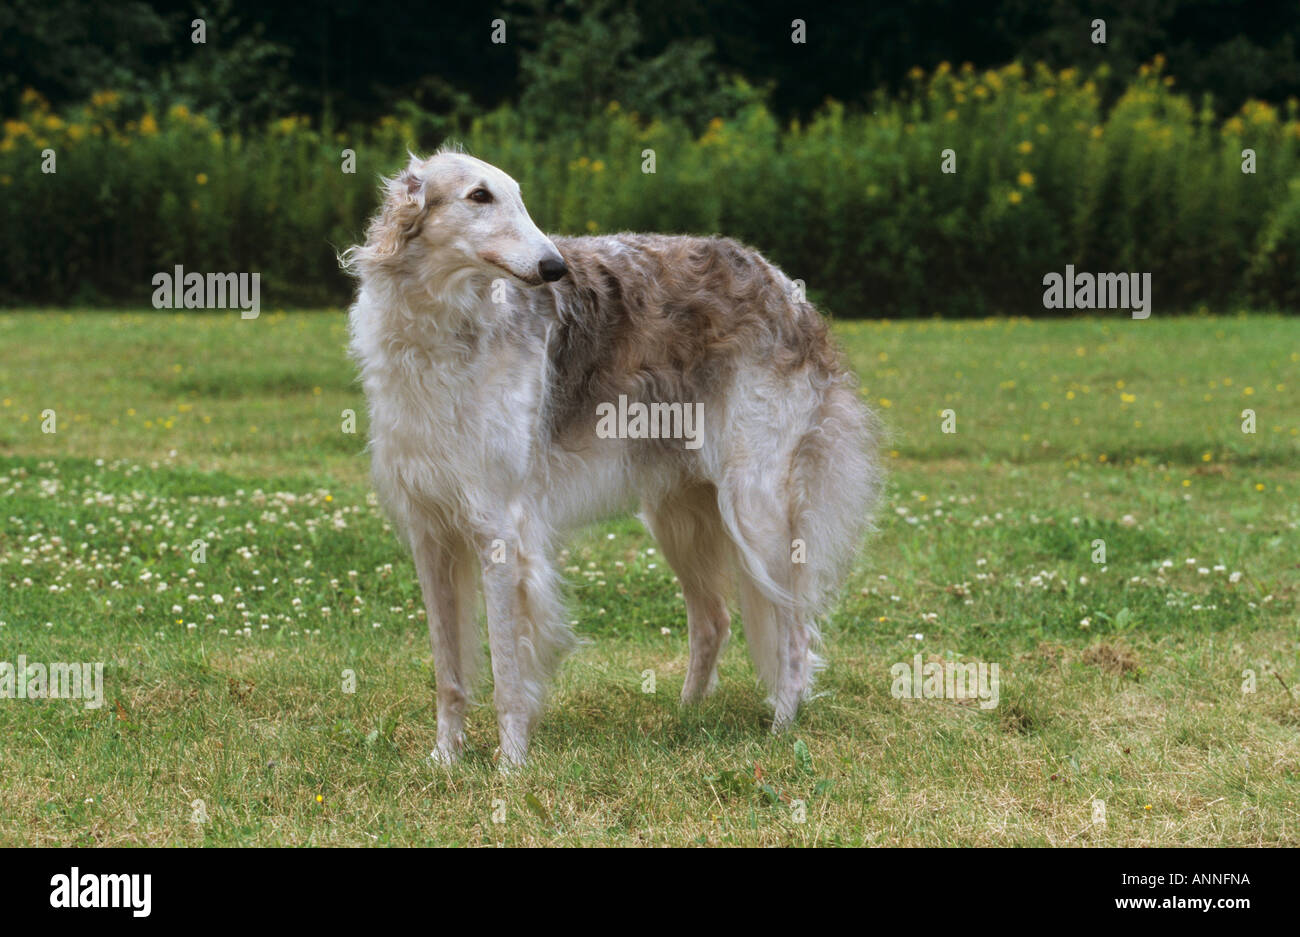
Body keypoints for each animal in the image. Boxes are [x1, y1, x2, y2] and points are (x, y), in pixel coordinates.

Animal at [343, 150, 883, 764]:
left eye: (517, 197)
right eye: (479, 196)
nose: (554, 267)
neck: (441, 325)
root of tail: (785, 287)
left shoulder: (500, 526)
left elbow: (507, 672)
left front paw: (510, 765)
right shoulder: (429, 532)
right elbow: (448, 673)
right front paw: (444, 760)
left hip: (755, 507)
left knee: (794, 627)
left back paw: (781, 730)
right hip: (679, 514)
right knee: (715, 620)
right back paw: (687, 716)